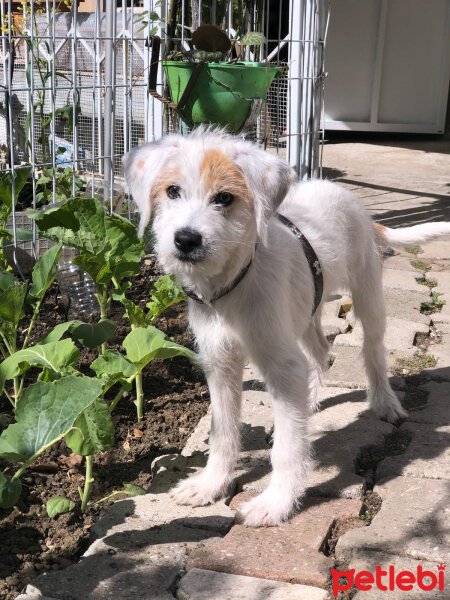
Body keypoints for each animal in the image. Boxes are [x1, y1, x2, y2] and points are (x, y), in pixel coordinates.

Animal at [124, 129, 450, 528]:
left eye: (224, 198)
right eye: (172, 191)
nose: (186, 239)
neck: (233, 284)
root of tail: (347, 196)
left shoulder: (280, 363)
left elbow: (288, 447)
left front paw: (276, 502)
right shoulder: (220, 365)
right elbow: (223, 431)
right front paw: (211, 484)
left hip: (368, 296)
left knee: (372, 351)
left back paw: (385, 403)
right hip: (306, 312)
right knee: (321, 353)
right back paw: (310, 399)